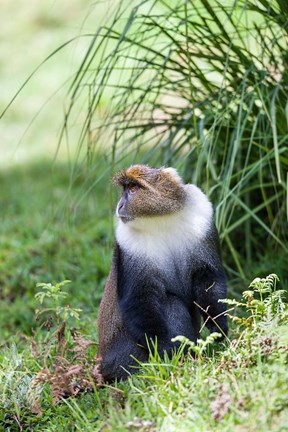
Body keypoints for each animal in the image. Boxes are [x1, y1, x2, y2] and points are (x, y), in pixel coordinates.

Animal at [98, 165, 228, 382]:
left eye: (133, 189)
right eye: (125, 189)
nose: (119, 205)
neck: (160, 218)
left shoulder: (202, 217)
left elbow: (207, 277)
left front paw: (218, 325)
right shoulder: (129, 245)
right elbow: (139, 299)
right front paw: (167, 352)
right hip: (124, 359)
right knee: (171, 303)